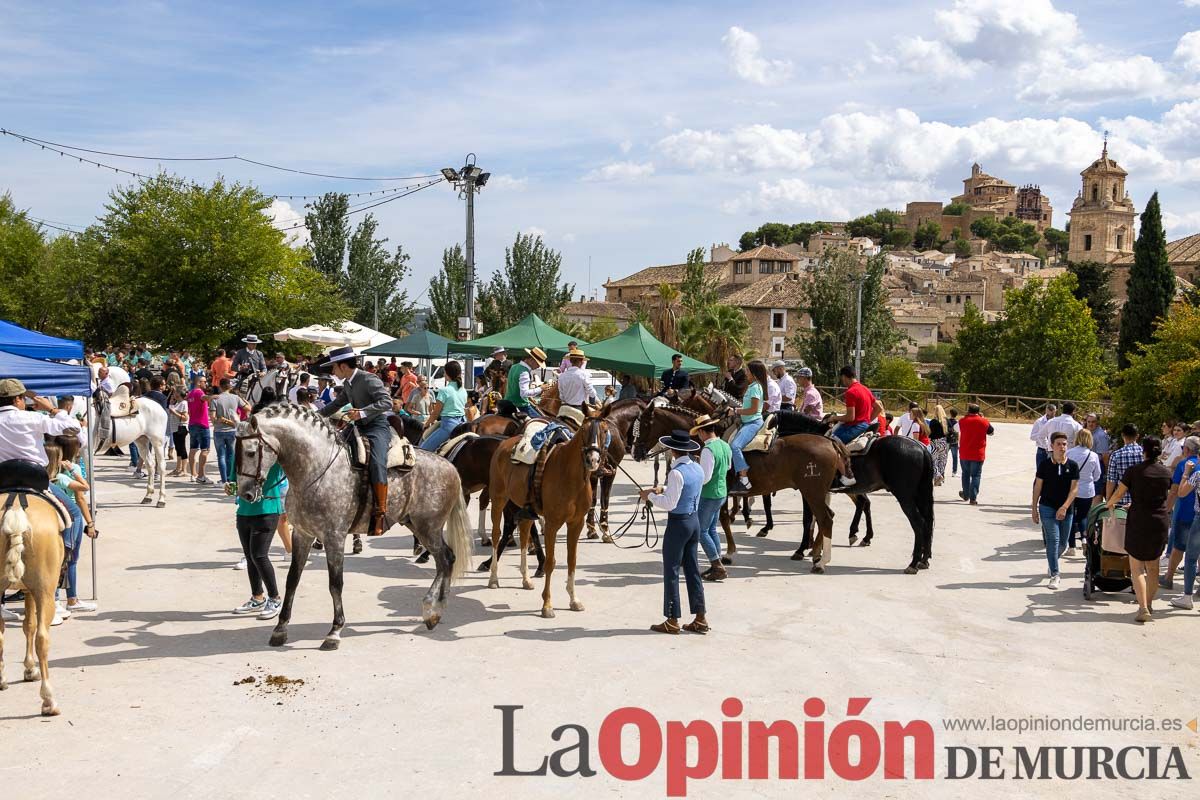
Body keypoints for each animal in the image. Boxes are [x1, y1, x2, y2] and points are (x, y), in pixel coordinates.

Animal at [0, 491, 65, 714]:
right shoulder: (33, 591)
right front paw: (30, 668)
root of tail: (15, 510)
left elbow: (24, 626)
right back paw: (49, 699)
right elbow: (31, 626)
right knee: (42, 639)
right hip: (45, 592)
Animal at [235, 402, 472, 647]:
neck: (316, 469)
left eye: (251, 452)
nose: (245, 493)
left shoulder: (334, 537)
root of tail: (449, 465)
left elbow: (335, 583)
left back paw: (432, 609)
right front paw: (280, 628)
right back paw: (436, 610)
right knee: (444, 561)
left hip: (429, 527)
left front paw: (335, 630)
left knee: (446, 558)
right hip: (416, 524)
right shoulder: (302, 534)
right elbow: (292, 580)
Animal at [487, 417, 614, 618]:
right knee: (495, 534)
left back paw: (526, 579)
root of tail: (504, 444)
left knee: (524, 534)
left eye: (604, 430)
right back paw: (493, 578)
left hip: (525, 509)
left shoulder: (576, 523)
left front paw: (574, 600)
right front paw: (547, 605)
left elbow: (572, 560)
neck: (570, 475)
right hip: (498, 499)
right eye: (583, 430)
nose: (592, 460)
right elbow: (549, 563)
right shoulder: (552, 524)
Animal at [628, 402, 844, 573]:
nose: (635, 452)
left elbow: (723, 519)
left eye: (644, 425)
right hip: (816, 493)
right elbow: (719, 519)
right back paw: (816, 554)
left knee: (825, 519)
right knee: (826, 517)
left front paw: (728, 553)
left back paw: (821, 561)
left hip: (812, 492)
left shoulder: (722, 490)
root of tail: (829, 442)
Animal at [768, 412, 936, 575]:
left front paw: (802, 550)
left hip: (905, 497)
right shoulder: (821, 492)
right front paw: (815, 549)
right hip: (920, 495)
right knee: (927, 523)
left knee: (918, 524)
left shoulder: (808, 491)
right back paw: (923, 560)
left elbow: (808, 519)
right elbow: (819, 518)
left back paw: (912, 563)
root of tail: (920, 448)